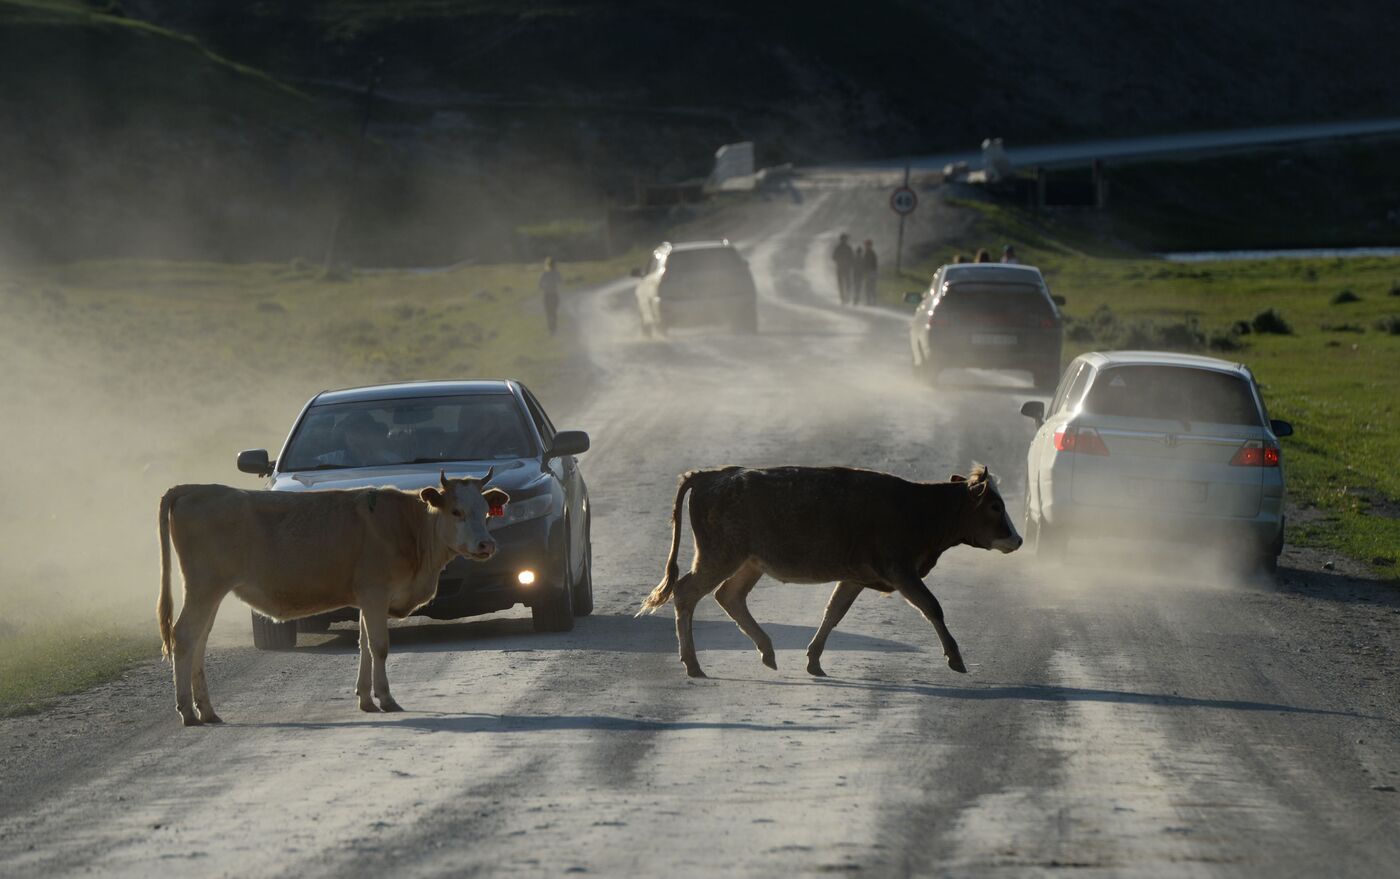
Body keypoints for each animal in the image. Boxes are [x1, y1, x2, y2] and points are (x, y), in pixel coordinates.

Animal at [158, 470, 509, 722]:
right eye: (456, 511)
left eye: (486, 512)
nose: (486, 544)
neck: (407, 527)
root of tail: (194, 488)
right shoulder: (375, 593)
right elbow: (379, 647)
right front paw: (386, 698)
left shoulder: (367, 599)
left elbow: (364, 645)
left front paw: (366, 698)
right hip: (204, 587)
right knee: (185, 637)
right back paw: (188, 711)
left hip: (211, 592)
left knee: (199, 642)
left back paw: (207, 710)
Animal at [638, 467, 1019, 680]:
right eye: (994, 506)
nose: (1017, 539)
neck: (919, 507)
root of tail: (713, 475)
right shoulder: (902, 572)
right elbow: (932, 607)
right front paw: (955, 657)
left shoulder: (854, 577)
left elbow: (834, 612)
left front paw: (814, 660)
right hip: (720, 557)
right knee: (687, 593)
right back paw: (692, 664)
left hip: (747, 562)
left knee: (729, 596)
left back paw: (766, 651)